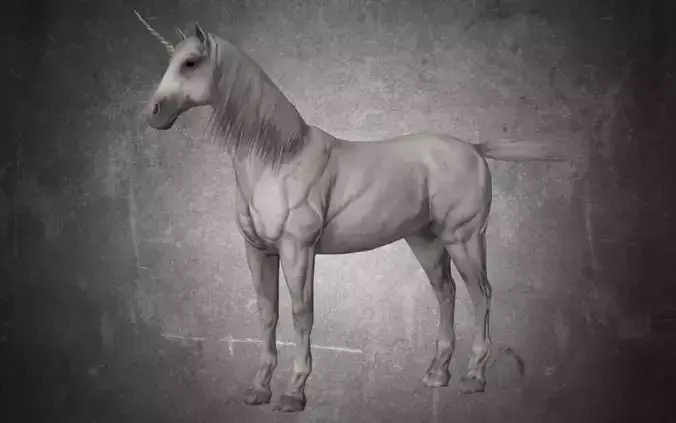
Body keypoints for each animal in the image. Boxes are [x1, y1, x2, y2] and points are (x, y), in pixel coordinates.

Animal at [135, 13, 565, 412]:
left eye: (191, 63)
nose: (154, 113)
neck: (278, 160)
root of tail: (473, 149)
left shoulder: (298, 250)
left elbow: (301, 313)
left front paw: (294, 393)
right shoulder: (258, 251)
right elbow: (267, 313)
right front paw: (258, 389)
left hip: (464, 239)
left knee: (482, 294)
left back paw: (474, 377)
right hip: (425, 240)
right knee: (446, 293)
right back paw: (436, 373)